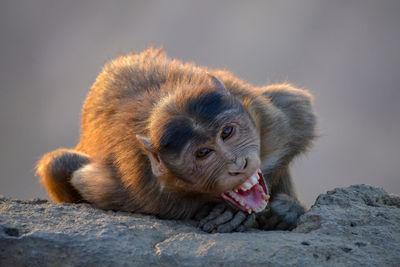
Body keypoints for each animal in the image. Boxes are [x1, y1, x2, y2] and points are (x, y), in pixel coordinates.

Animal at [36, 47, 316, 233]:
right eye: (203, 153)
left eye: (227, 133)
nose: (239, 165)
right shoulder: (138, 189)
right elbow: (84, 181)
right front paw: (229, 212)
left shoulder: (263, 115)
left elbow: (298, 111)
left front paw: (269, 209)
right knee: (58, 164)